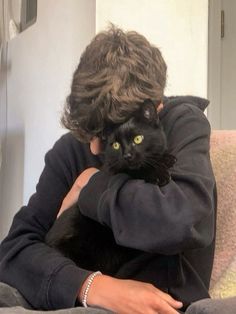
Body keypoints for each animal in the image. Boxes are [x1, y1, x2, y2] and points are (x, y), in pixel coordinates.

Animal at [45, 100, 176, 274]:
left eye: (138, 139)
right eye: (115, 145)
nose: (127, 155)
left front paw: (167, 157)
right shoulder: (114, 171)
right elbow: (138, 172)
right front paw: (159, 173)